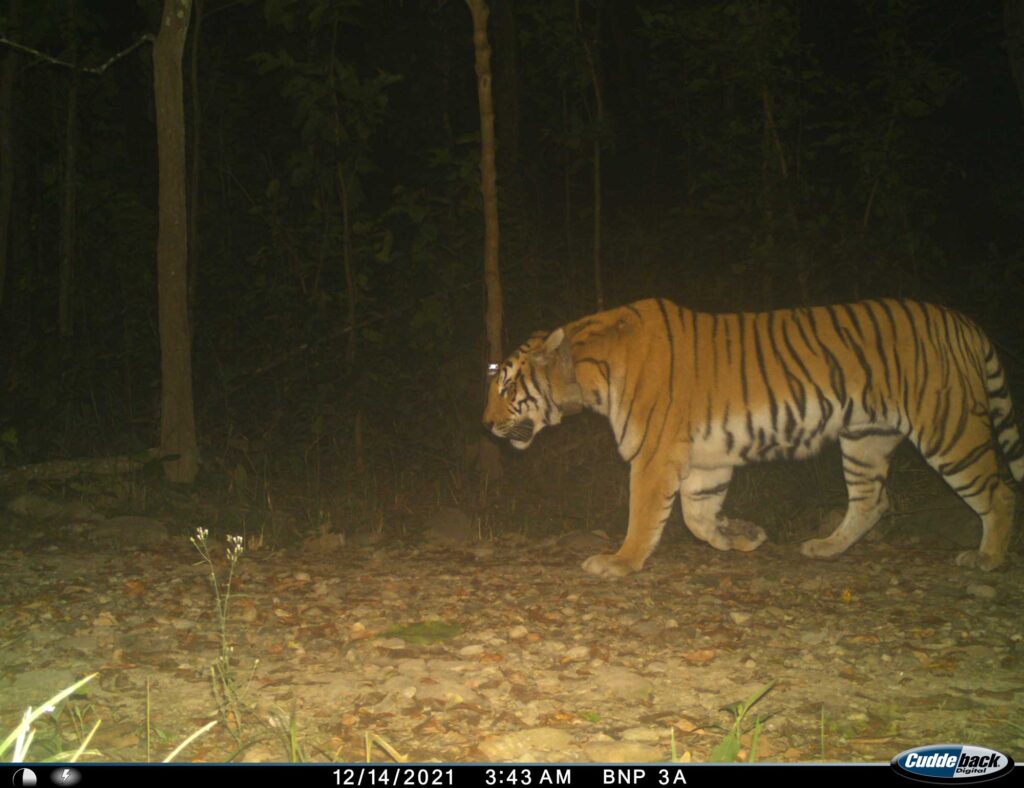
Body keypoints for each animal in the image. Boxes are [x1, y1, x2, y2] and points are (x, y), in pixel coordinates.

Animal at [482, 298, 1023, 577]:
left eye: (506, 387)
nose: (485, 424)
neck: (587, 371)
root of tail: (963, 322)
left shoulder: (653, 454)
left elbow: (645, 514)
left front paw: (620, 561)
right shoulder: (707, 460)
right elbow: (698, 517)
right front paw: (743, 536)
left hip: (947, 428)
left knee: (999, 492)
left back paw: (987, 559)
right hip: (866, 438)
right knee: (872, 501)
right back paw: (825, 548)